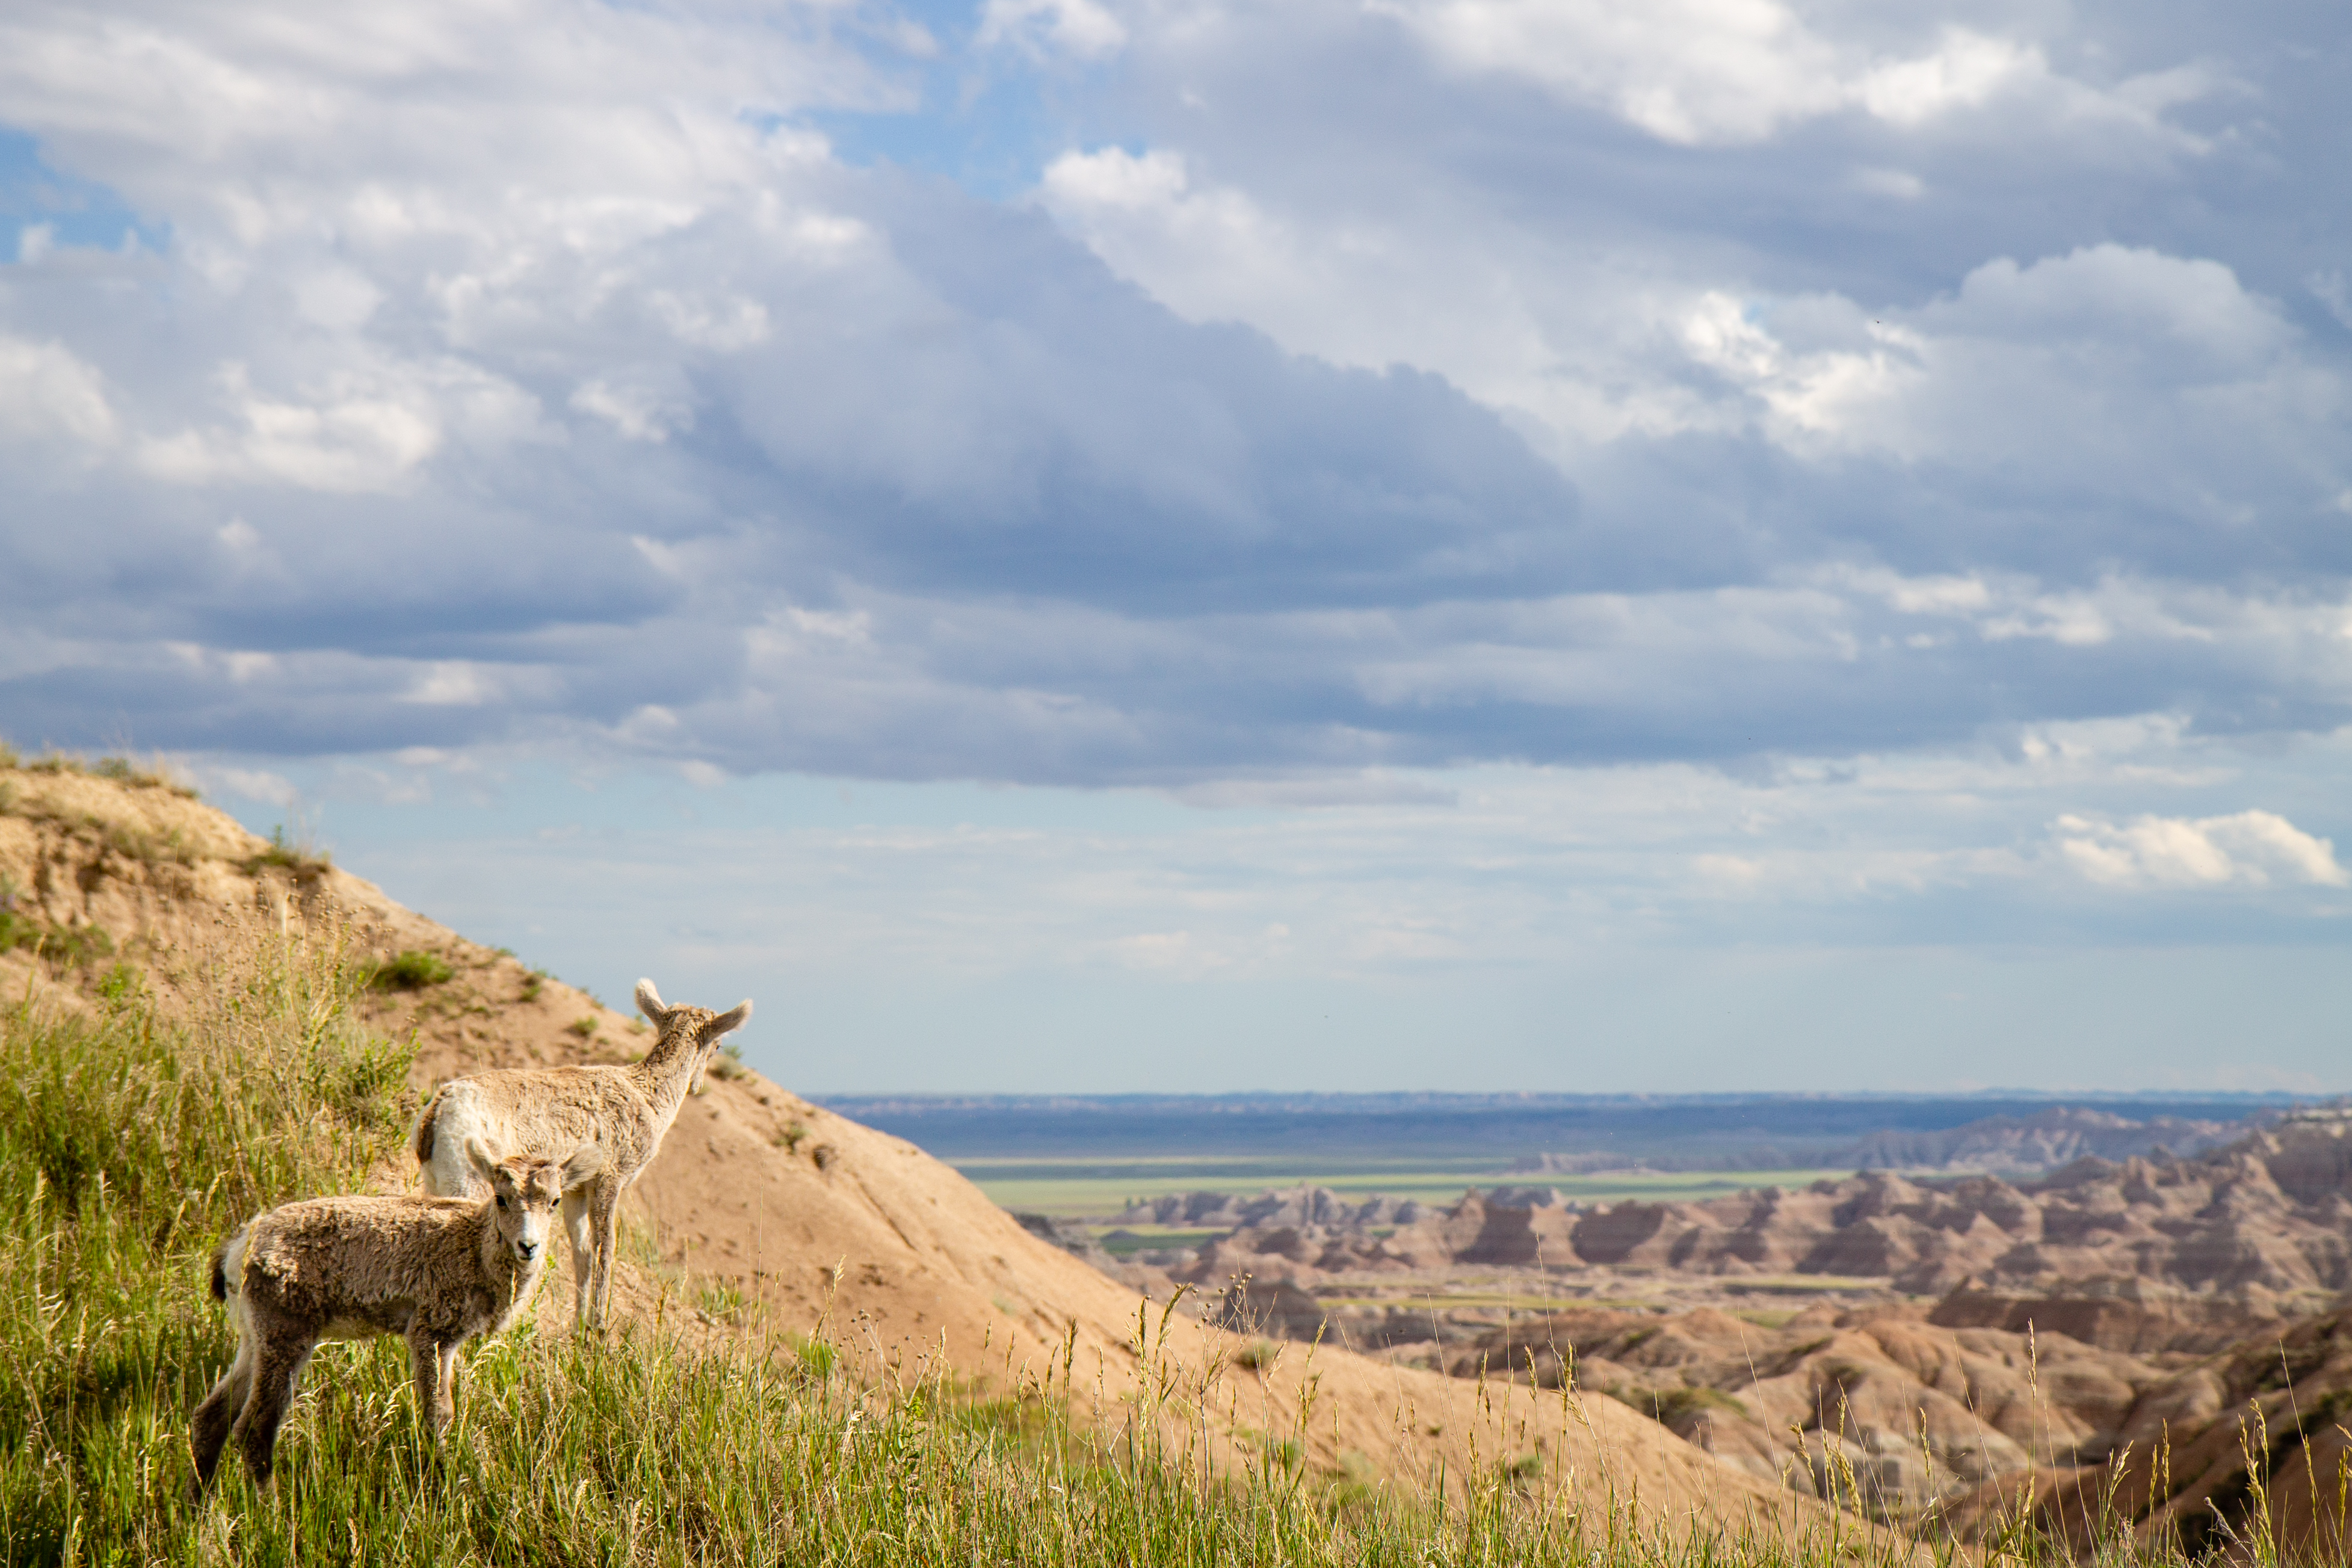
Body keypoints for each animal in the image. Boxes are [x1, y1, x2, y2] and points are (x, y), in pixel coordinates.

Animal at [192, 1139, 600, 1488]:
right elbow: (439, 1414)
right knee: (254, 1430)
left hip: (254, 1341)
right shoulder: (431, 1334)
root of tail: (242, 1249)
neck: (475, 1250)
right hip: (287, 1339)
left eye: (555, 1201)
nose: (528, 1246)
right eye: (501, 1198)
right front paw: (445, 1483)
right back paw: (273, 1516)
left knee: (210, 1419)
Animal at [412, 978, 751, 1333]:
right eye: (718, 1046)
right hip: (471, 1184)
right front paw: (599, 1330)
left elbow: (582, 1250)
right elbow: (605, 1246)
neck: (649, 1098)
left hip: (437, 1183)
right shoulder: (609, 1180)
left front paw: (579, 1328)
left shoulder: (574, 1191)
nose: (697, 1086)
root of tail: (437, 1112)